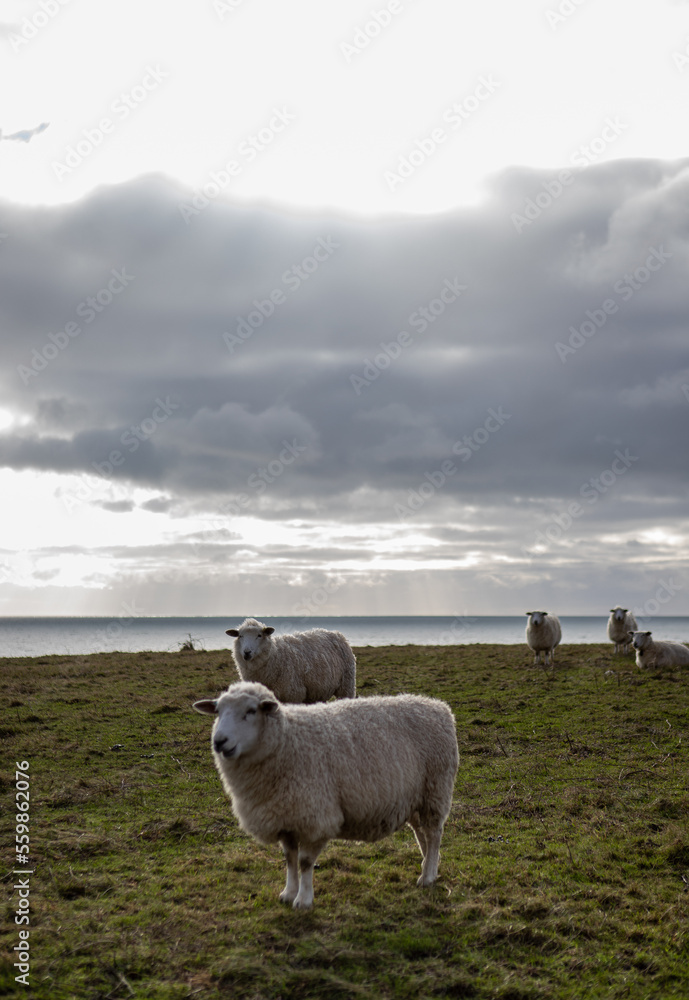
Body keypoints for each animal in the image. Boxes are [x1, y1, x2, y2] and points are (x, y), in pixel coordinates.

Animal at [193, 680, 458, 910]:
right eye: (217, 711)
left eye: (250, 711)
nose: (219, 741)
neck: (287, 741)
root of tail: (437, 706)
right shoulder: (285, 816)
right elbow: (289, 858)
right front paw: (288, 893)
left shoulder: (315, 817)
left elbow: (304, 862)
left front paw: (303, 900)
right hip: (414, 798)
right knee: (422, 833)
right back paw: (429, 865)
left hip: (435, 789)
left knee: (434, 834)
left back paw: (428, 876)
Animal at [225, 618, 356, 704]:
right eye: (240, 636)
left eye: (259, 635)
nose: (247, 652)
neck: (275, 655)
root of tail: (337, 634)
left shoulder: (293, 695)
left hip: (347, 686)